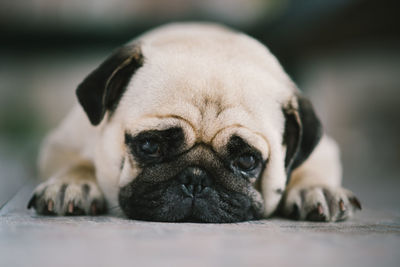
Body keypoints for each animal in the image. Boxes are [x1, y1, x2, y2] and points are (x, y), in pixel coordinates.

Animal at [26, 22, 360, 224]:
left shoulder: (322, 149)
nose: (196, 179)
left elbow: (310, 169)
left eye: (247, 160)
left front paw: (316, 189)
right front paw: (72, 184)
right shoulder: (65, 139)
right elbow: (76, 162)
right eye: (150, 145)